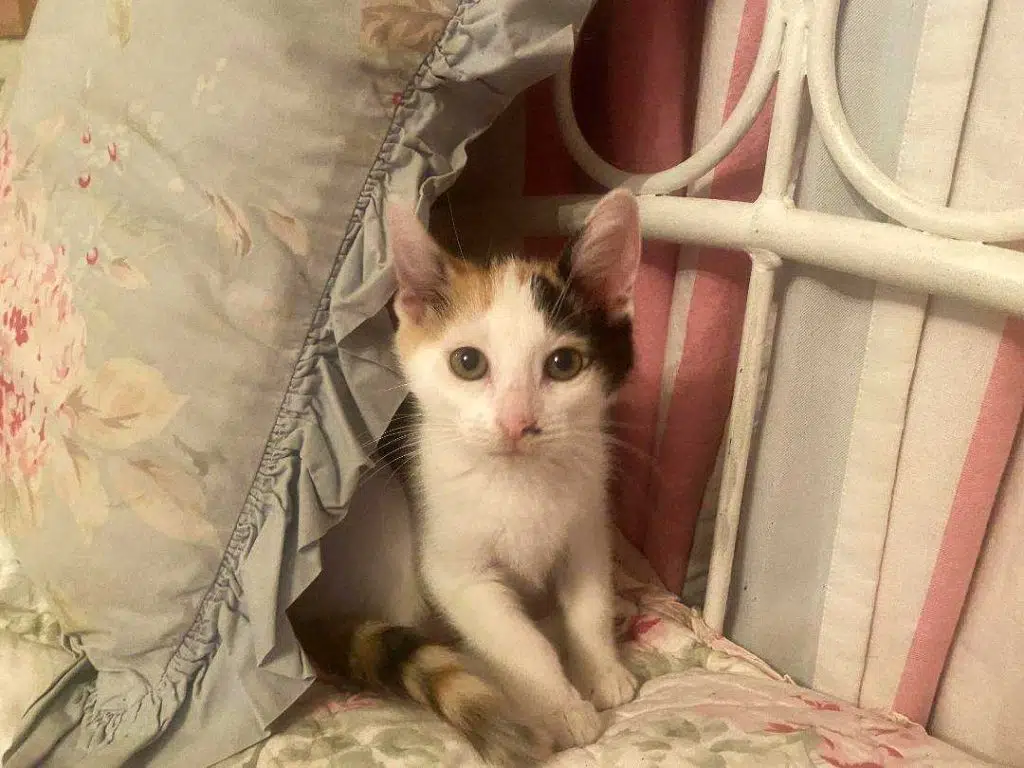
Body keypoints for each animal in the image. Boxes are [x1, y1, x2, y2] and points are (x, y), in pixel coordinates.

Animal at [291, 188, 642, 766]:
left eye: (564, 364)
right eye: (467, 362)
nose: (517, 423)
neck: (519, 479)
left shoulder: (589, 527)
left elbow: (590, 603)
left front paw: (600, 669)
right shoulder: (458, 575)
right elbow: (518, 643)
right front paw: (560, 705)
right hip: (382, 506)